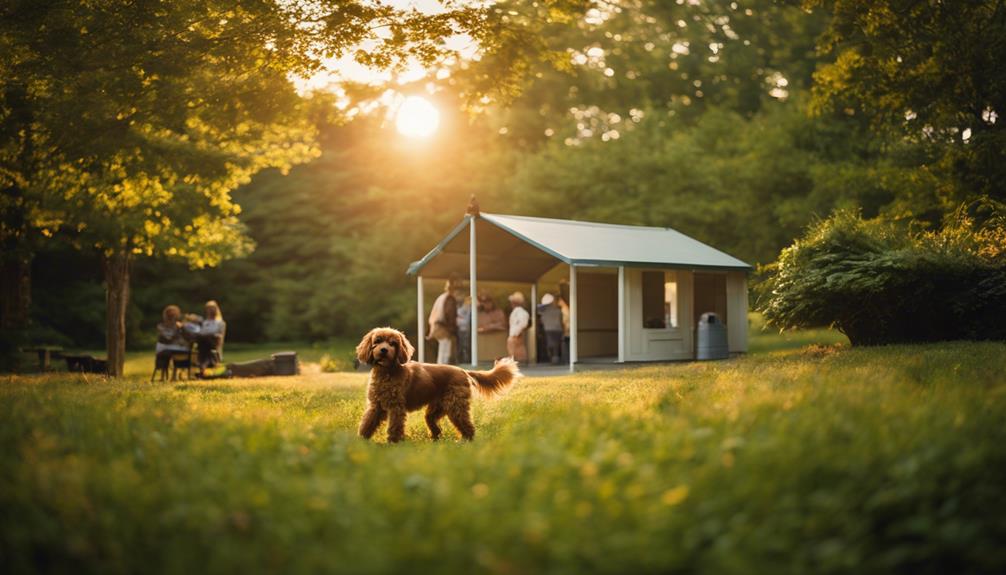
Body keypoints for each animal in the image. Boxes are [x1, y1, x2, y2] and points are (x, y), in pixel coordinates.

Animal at [354, 325, 523, 442]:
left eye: (393, 343)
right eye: (377, 341)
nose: (383, 350)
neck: (387, 373)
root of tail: (463, 371)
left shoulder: (396, 407)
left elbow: (395, 426)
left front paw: (393, 442)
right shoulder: (375, 406)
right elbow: (367, 422)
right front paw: (362, 439)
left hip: (456, 406)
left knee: (467, 425)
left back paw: (466, 442)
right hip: (436, 409)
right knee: (435, 426)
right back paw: (435, 440)